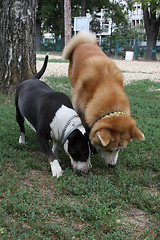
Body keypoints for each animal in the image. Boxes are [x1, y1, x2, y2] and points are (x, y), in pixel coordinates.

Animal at [62, 31, 145, 167]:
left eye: (119, 150)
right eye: (108, 149)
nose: (113, 165)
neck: (105, 86)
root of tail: (85, 43)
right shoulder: (80, 110)